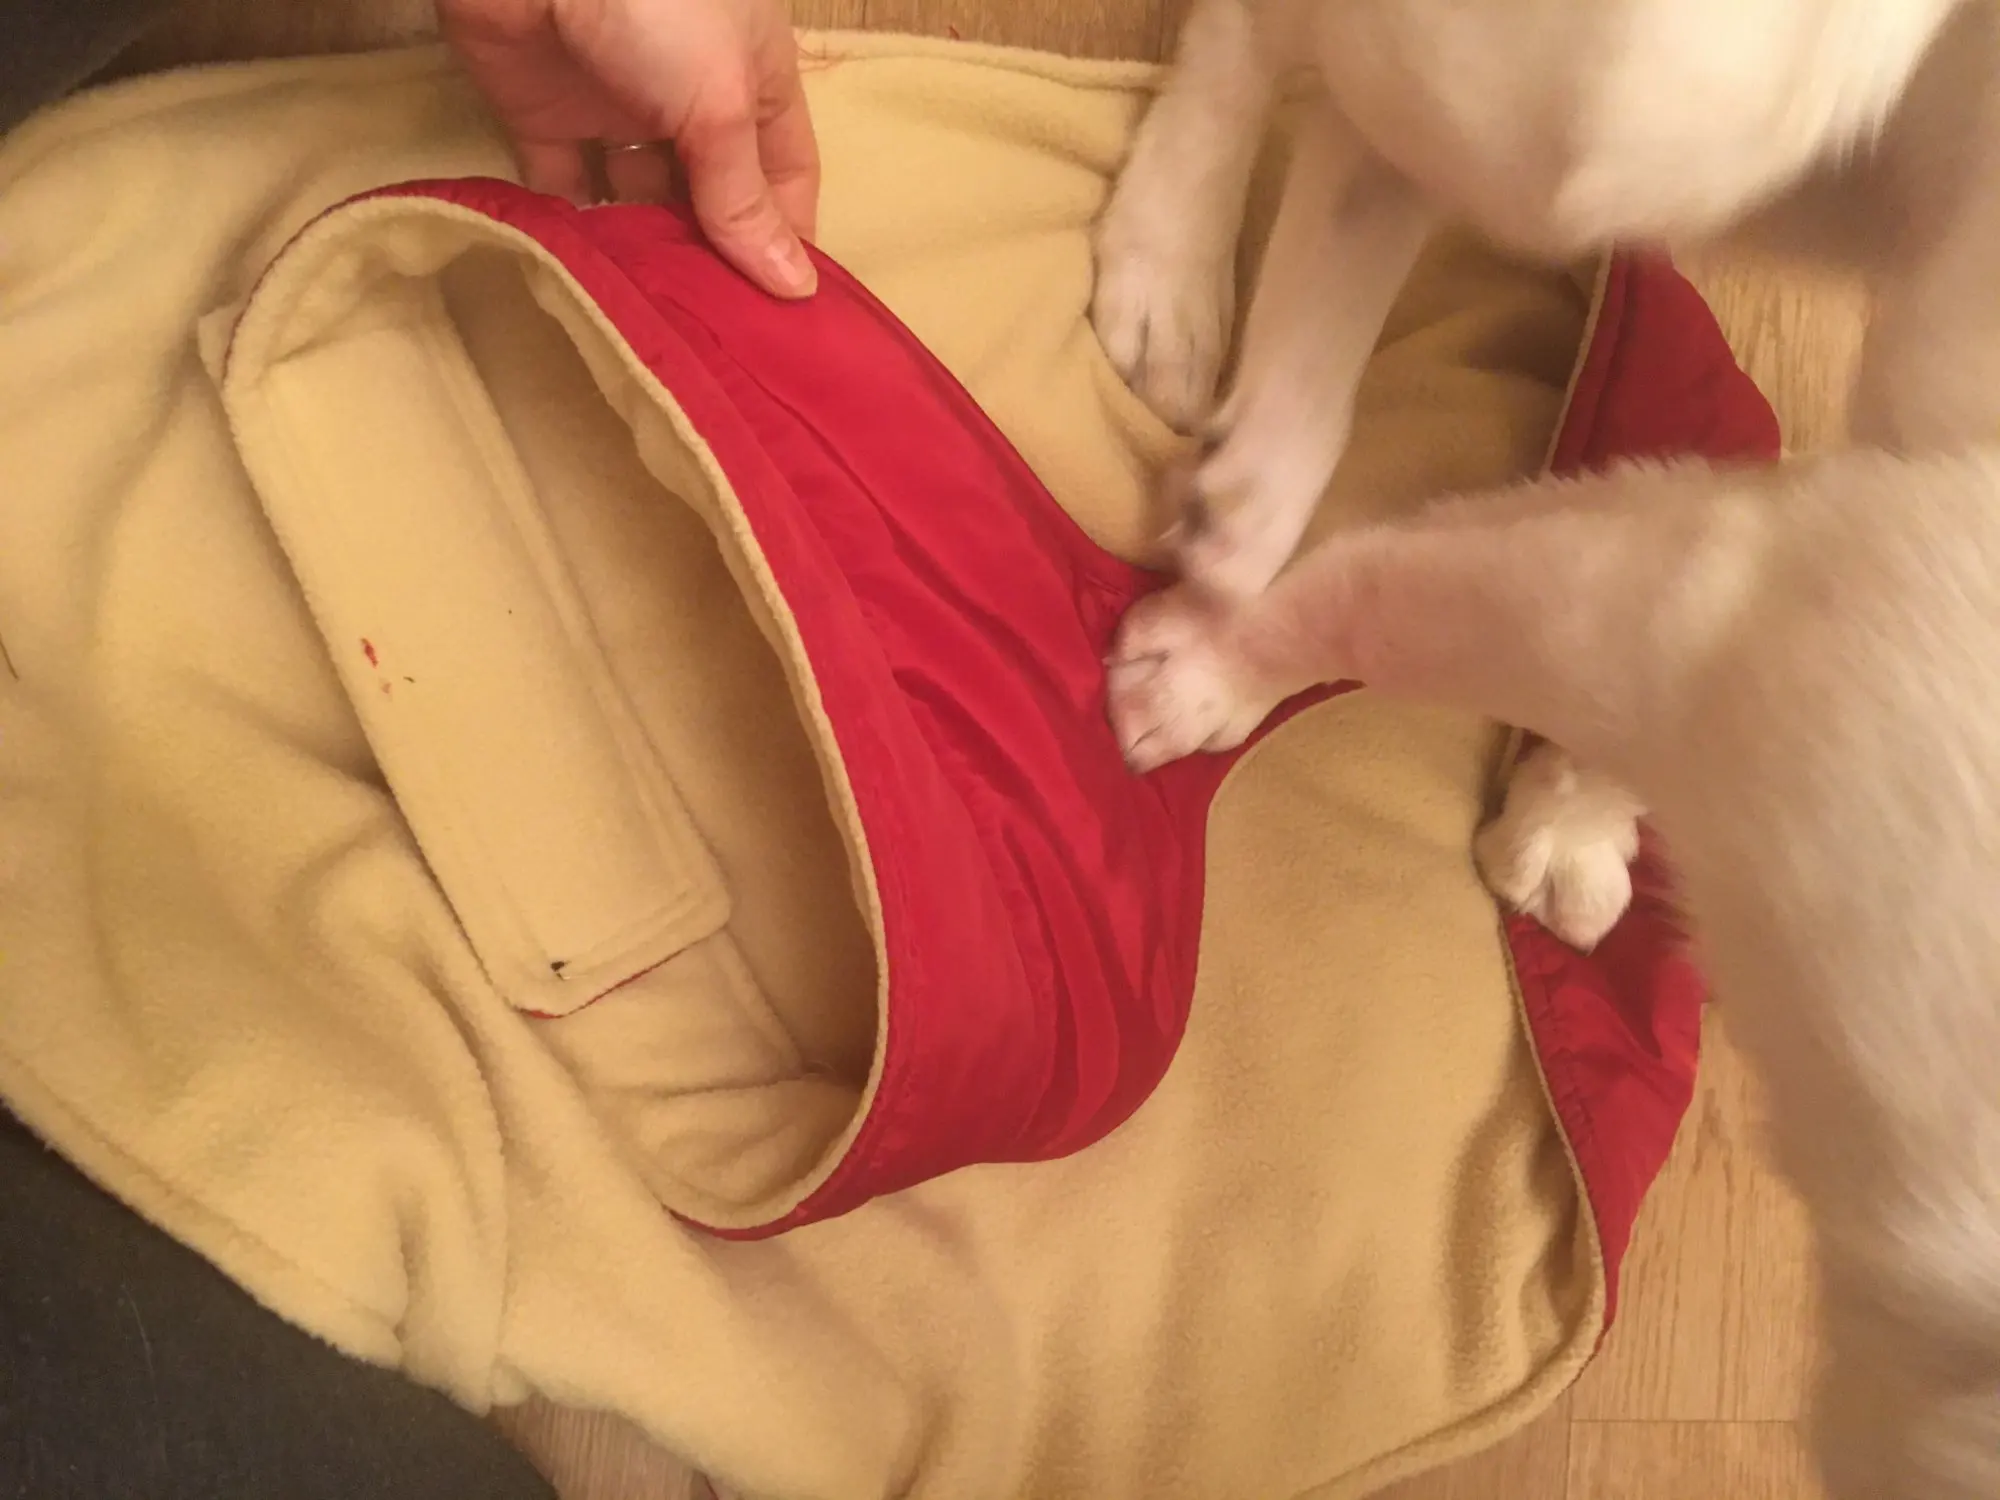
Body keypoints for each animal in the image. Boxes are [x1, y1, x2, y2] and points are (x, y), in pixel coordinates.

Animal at [1093, 1, 2000, 1494]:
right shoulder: (1744, 606)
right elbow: (1382, 605)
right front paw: (1213, 667)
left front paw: (1568, 822)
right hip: (1644, 131)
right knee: (1321, 77)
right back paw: (1185, 280)